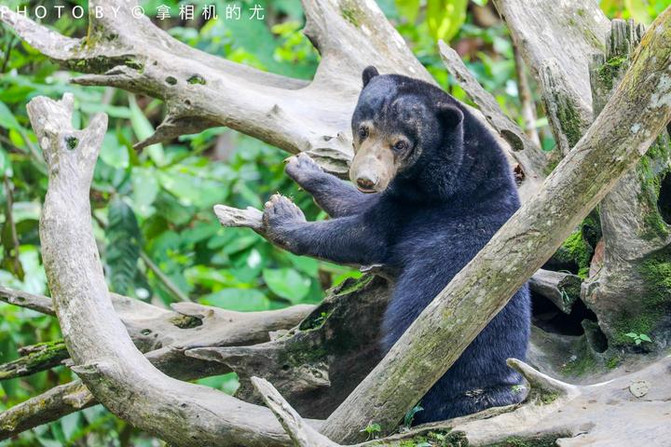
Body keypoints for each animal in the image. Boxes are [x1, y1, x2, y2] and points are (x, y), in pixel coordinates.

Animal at [262, 65, 532, 424]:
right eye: (364, 129)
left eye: (400, 144)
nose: (366, 179)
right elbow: (355, 204)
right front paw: (304, 166)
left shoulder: (427, 209)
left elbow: (365, 235)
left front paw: (281, 214)